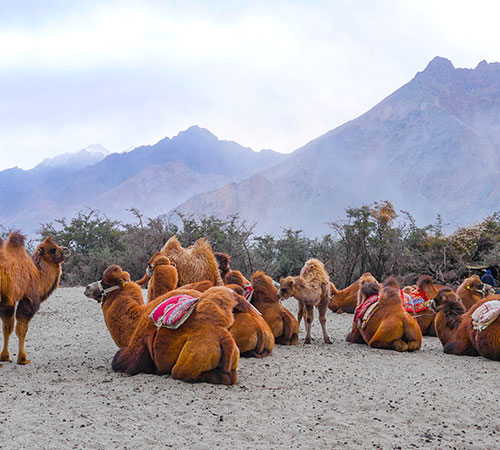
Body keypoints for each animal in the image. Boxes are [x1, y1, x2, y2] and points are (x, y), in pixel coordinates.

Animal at [0, 232, 70, 366]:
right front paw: (23, 359)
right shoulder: (29, 300)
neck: (38, 275)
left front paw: (5, 357)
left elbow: (7, 327)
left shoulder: (7, 303)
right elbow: (21, 329)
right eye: (52, 249)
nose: (66, 249)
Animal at [85, 266, 241, 384]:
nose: (87, 288)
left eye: (105, 282)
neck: (137, 319)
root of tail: (224, 337)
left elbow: (119, 361)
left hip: (193, 355)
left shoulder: (137, 347)